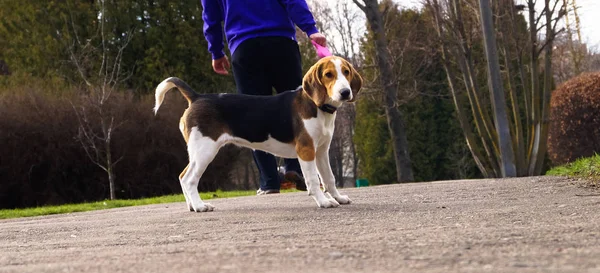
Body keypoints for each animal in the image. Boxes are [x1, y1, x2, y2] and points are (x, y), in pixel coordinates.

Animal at [152, 56, 364, 211]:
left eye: (346, 72)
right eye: (328, 75)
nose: (345, 92)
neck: (317, 106)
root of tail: (197, 97)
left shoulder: (321, 152)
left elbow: (329, 178)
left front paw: (338, 198)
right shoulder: (306, 150)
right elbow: (313, 180)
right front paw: (323, 201)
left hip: (197, 151)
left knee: (182, 176)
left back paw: (191, 206)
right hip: (205, 150)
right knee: (189, 179)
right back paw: (200, 206)